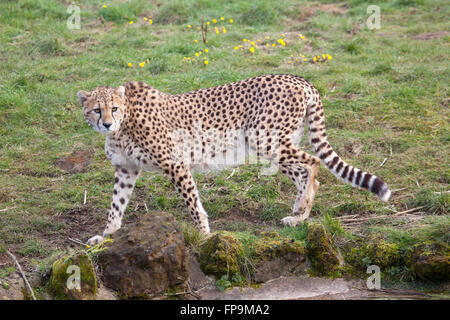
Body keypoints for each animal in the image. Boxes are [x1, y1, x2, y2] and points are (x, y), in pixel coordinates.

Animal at [77, 75, 390, 245]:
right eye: (96, 110)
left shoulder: (176, 164)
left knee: (312, 162)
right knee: (304, 171)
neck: (124, 125)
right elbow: (116, 205)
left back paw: (301, 209)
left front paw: (203, 235)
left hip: (264, 139)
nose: (106, 123)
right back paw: (298, 216)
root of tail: (297, 78)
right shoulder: (125, 169)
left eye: (114, 109)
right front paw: (106, 235)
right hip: (274, 142)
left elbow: (193, 204)